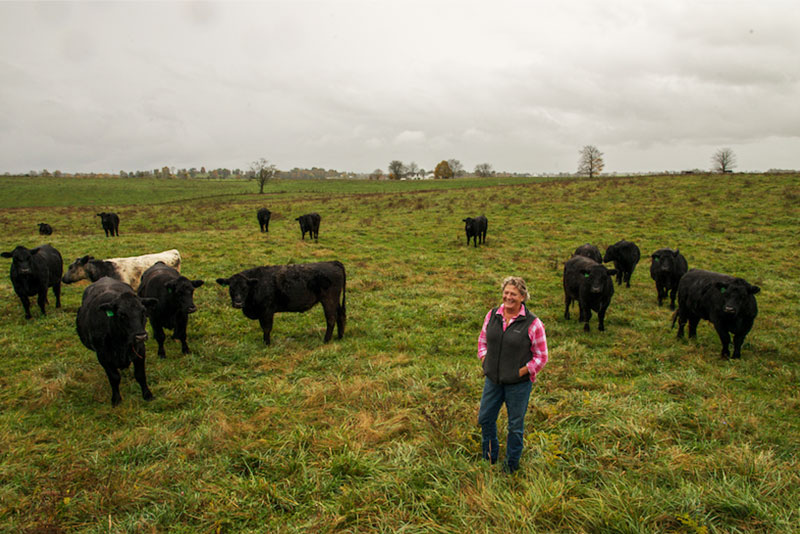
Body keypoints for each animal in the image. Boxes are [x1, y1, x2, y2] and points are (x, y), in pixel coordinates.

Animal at [77, 276, 159, 406]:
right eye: (122, 314)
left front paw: (147, 395)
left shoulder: (140, 350)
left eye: (143, 311)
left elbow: (140, 375)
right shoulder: (103, 356)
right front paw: (116, 399)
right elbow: (114, 377)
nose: (141, 336)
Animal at [217, 262, 346, 346]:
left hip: (329, 300)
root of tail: (332, 262)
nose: (238, 303)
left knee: (331, 319)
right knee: (340, 316)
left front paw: (267, 344)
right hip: (335, 301)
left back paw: (326, 340)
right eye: (231, 288)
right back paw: (339, 337)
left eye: (245, 288)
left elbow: (267, 328)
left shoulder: (267, 311)